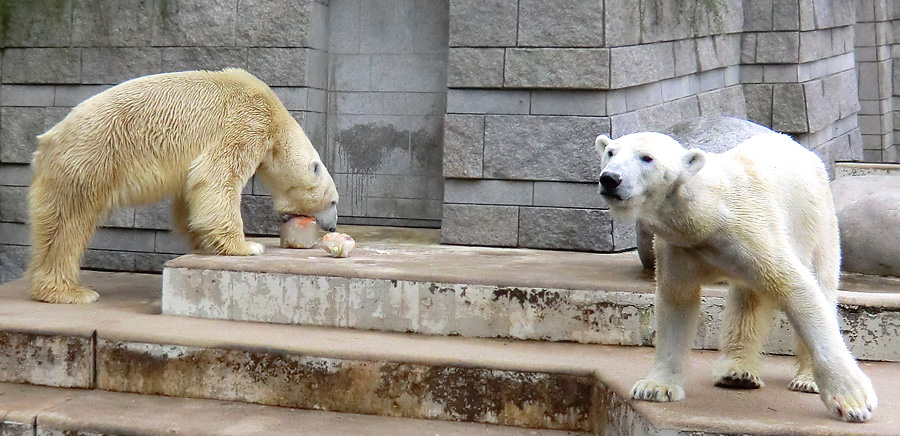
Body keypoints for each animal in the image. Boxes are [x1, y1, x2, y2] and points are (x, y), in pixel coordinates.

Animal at [30, 70, 342, 304]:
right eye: (334, 201)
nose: (333, 226)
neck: (275, 116)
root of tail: (48, 140)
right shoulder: (246, 121)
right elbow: (217, 176)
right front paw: (247, 246)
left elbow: (190, 192)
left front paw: (203, 241)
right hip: (91, 159)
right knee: (70, 223)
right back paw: (70, 292)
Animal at [596, 132, 880, 422]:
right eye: (610, 152)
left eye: (647, 157)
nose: (610, 179)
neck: (706, 214)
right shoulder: (678, 247)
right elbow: (677, 302)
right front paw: (655, 387)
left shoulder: (753, 232)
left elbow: (798, 291)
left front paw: (853, 401)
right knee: (748, 299)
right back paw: (737, 372)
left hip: (818, 222)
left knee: (822, 281)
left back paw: (805, 379)